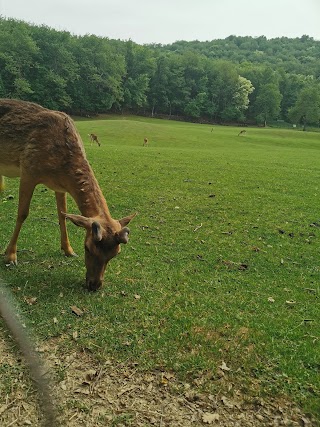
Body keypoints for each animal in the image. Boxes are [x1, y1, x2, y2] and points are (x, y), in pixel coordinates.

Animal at [0, 98, 136, 290]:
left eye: (115, 254)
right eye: (87, 247)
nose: (94, 285)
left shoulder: (59, 187)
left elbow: (62, 215)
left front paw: (68, 250)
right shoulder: (28, 170)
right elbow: (22, 214)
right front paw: (10, 256)